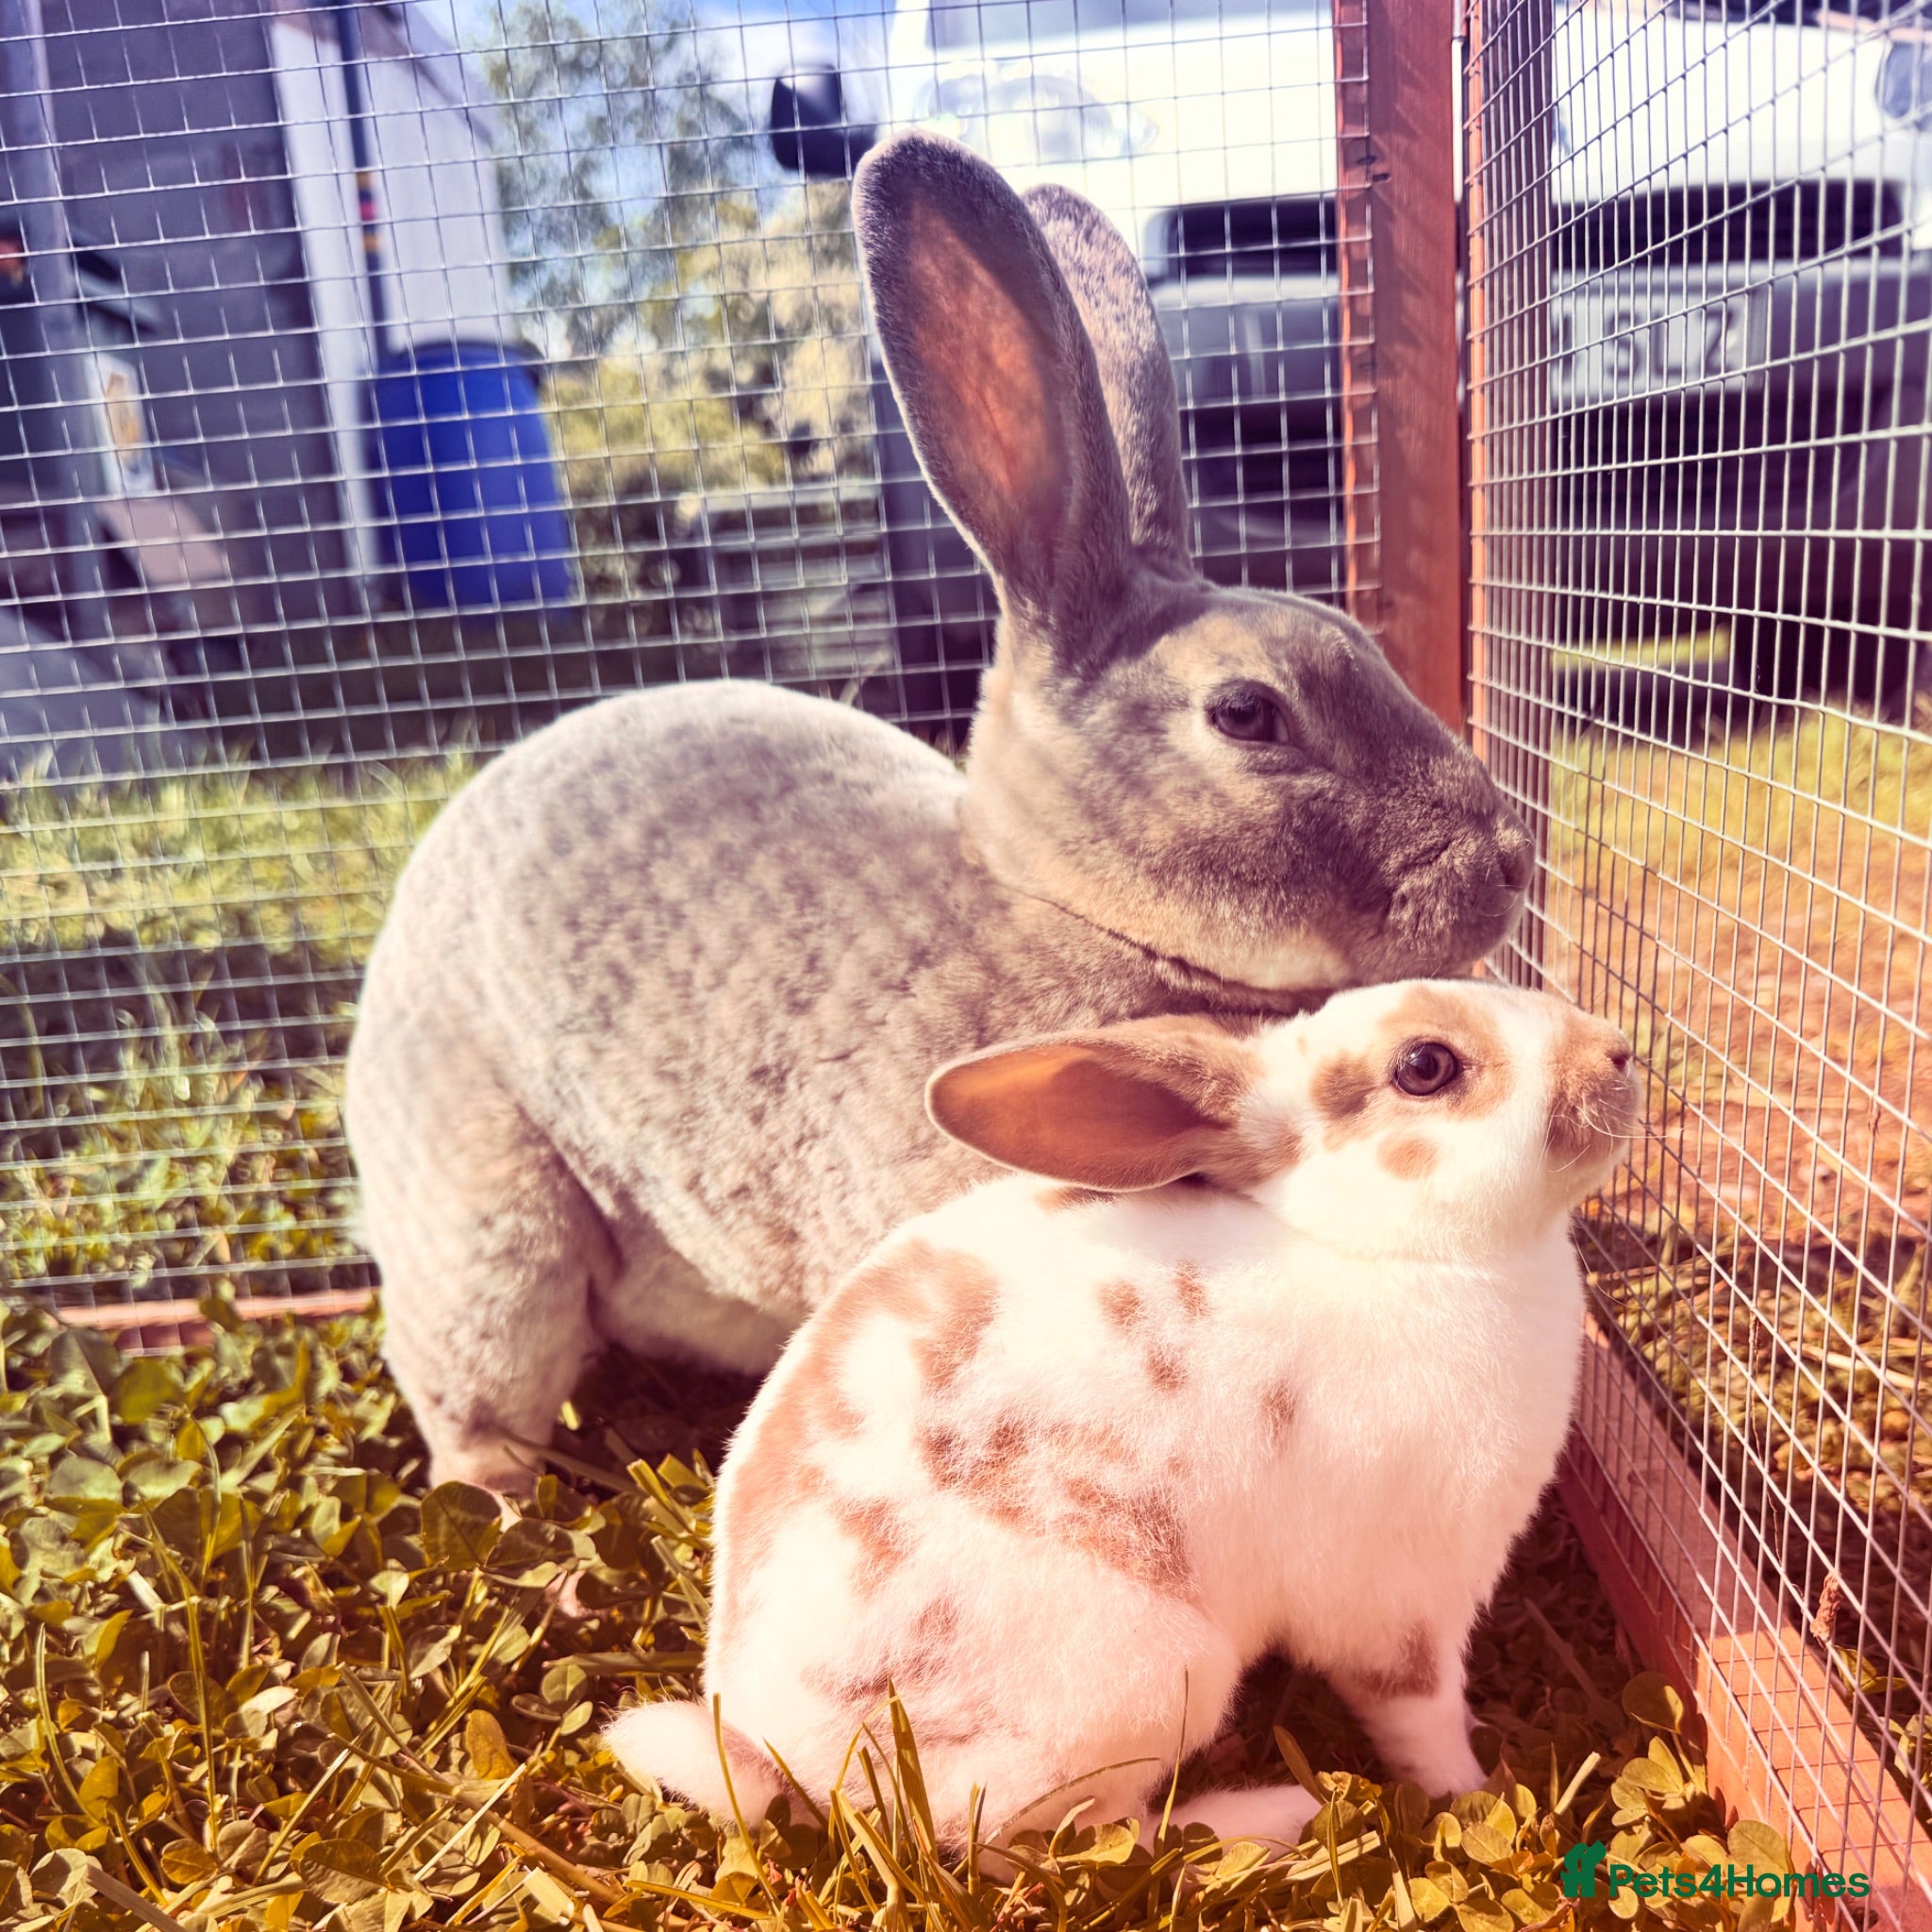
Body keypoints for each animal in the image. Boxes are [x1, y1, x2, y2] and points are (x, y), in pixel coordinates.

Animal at [605, 977, 1639, 1850]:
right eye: (1426, 1065)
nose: (1619, 1052)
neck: (1380, 1247)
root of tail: (783, 1758)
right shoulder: (1399, 1599)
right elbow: (1416, 1712)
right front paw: (1475, 1788)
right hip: (1148, 1679)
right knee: (1075, 1838)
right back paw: (1273, 1815)